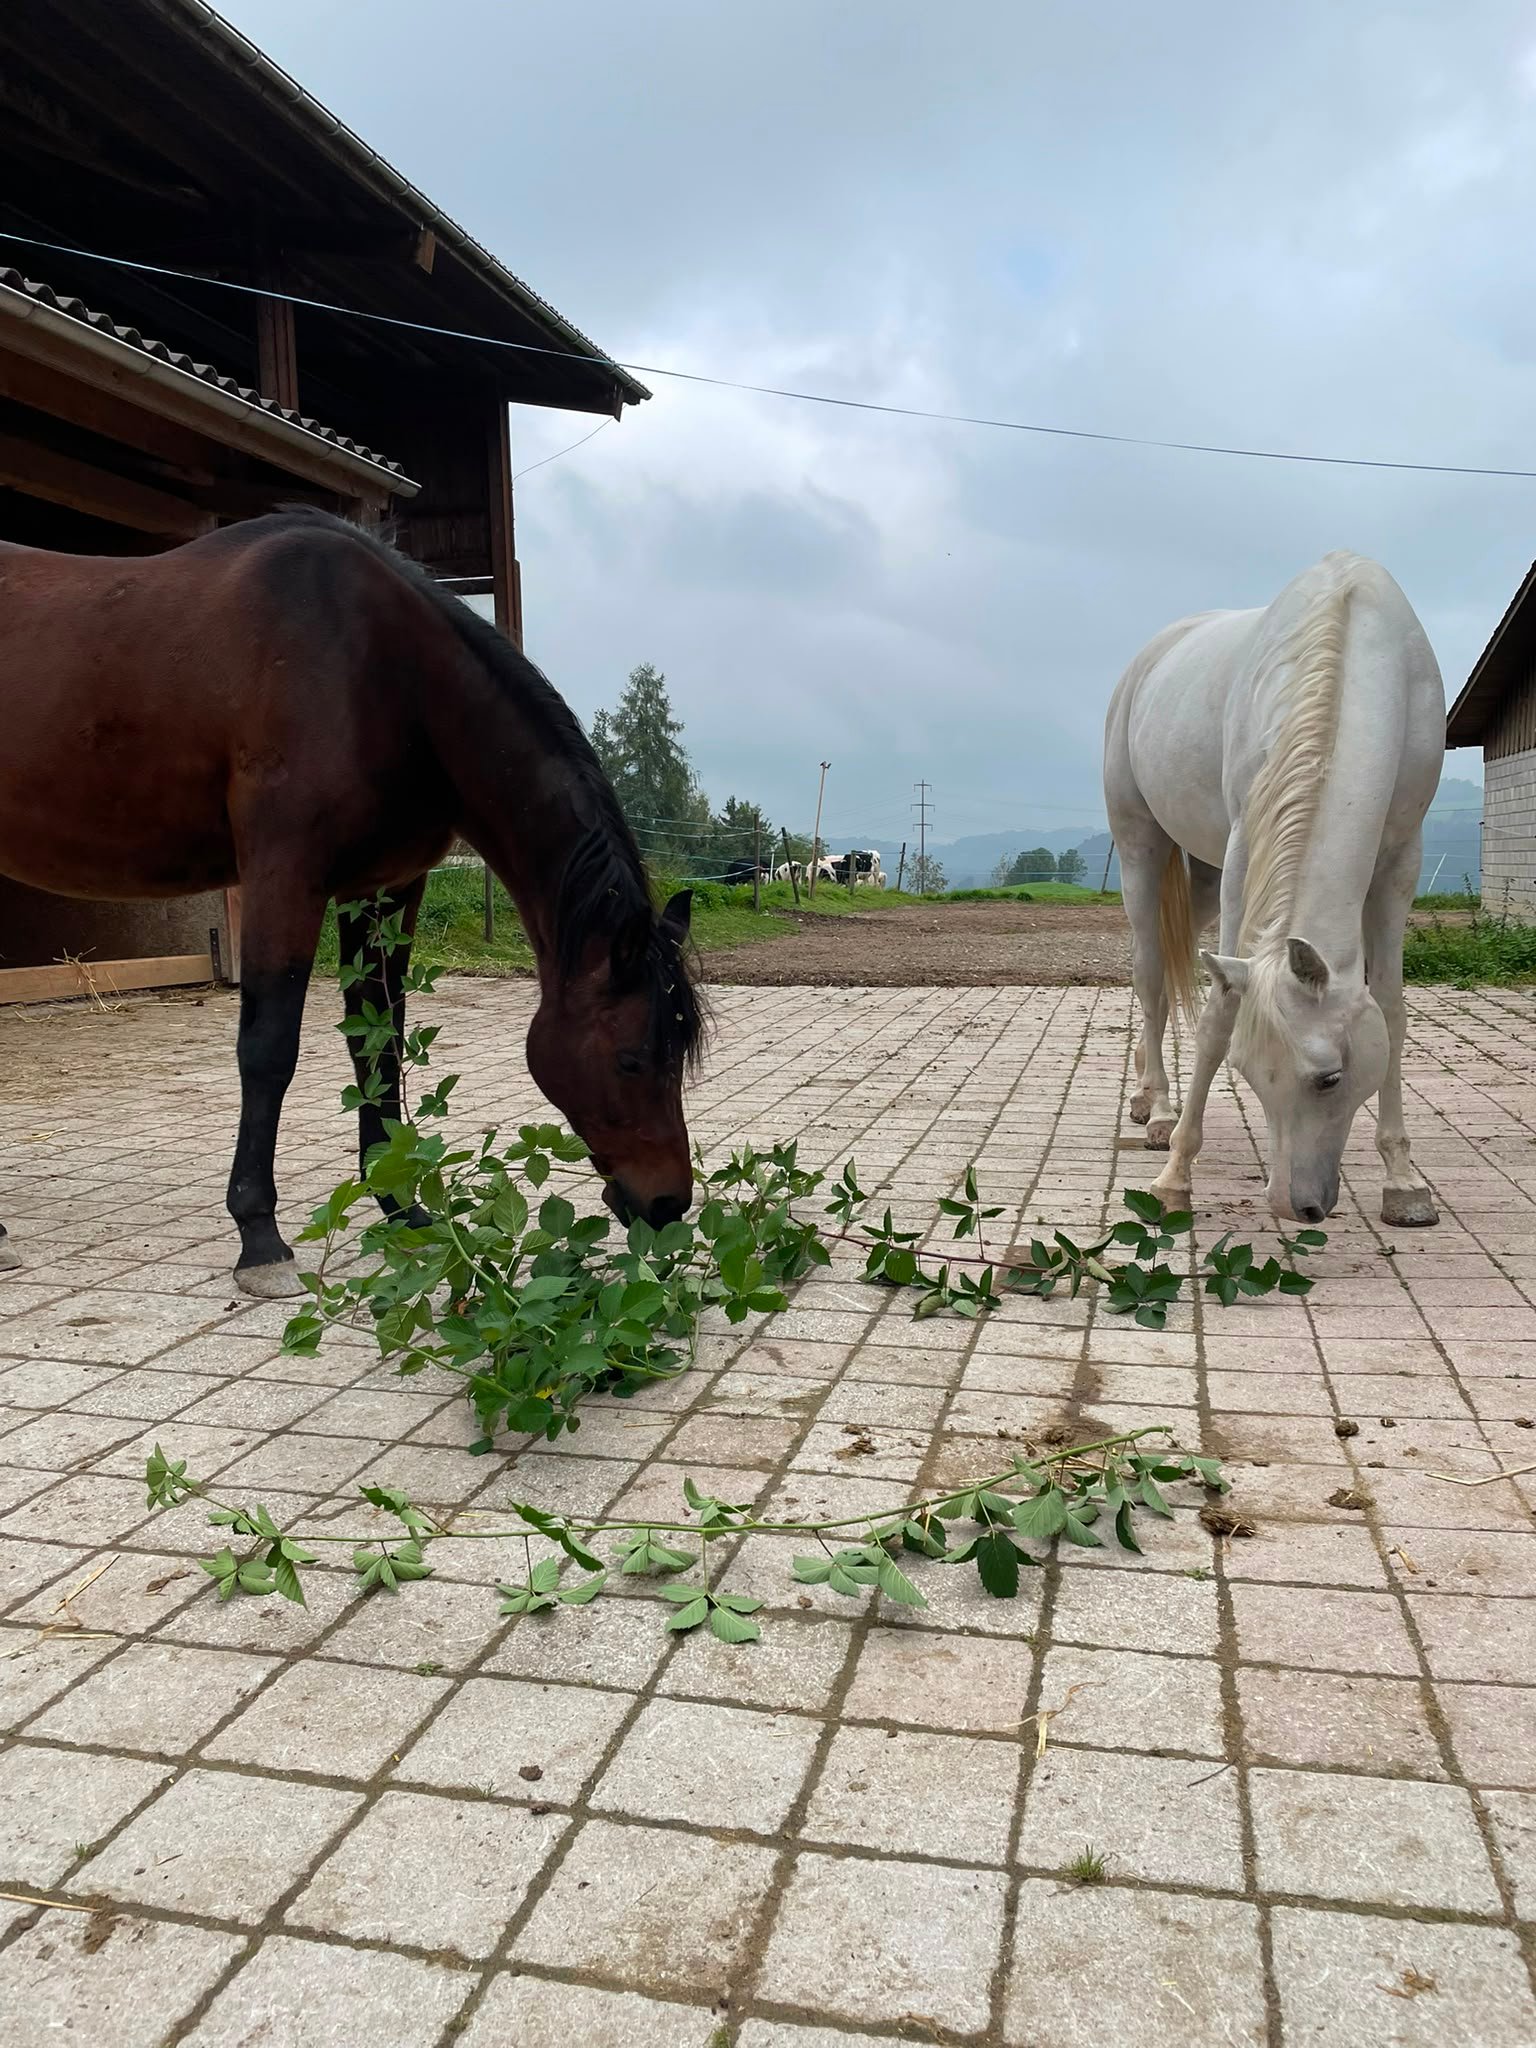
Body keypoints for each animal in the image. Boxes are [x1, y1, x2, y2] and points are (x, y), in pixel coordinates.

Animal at [0, 509, 703, 1297]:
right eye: (631, 1060)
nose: (667, 1203)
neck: (383, 673)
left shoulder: (385, 888)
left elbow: (379, 1043)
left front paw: (400, 1205)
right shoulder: (285, 876)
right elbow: (268, 1049)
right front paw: (260, 1236)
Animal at [1103, 550, 1443, 1228]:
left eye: (1329, 1078)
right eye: (1249, 1074)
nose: (1296, 1205)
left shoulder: (1400, 860)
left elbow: (1392, 1009)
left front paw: (1403, 1182)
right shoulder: (1244, 855)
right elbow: (1219, 1012)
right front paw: (1173, 1179)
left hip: (1203, 877)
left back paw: (1145, 1095)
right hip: (1141, 850)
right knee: (1149, 974)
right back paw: (1158, 1110)